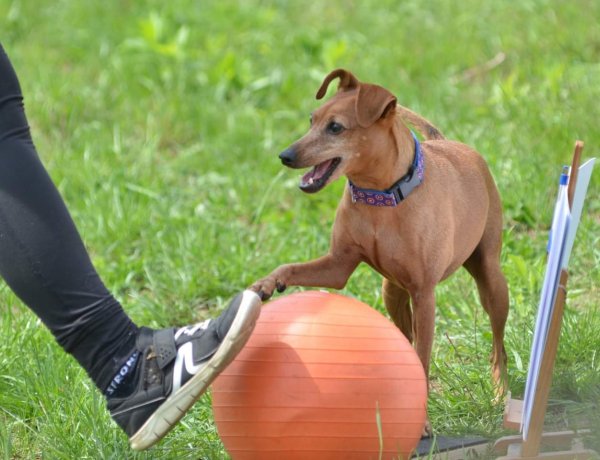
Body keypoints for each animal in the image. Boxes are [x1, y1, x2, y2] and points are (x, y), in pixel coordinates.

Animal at [251, 67, 508, 432]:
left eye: (335, 127)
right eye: (311, 120)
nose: (285, 156)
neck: (379, 198)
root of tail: (447, 142)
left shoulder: (424, 294)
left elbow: (423, 357)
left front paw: (422, 421)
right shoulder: (338, 266)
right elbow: (290, 267)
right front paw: (268, 283)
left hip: (491, 281)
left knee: (498, 344)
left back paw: (501, 393)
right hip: (392, 293)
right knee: (404, 337)